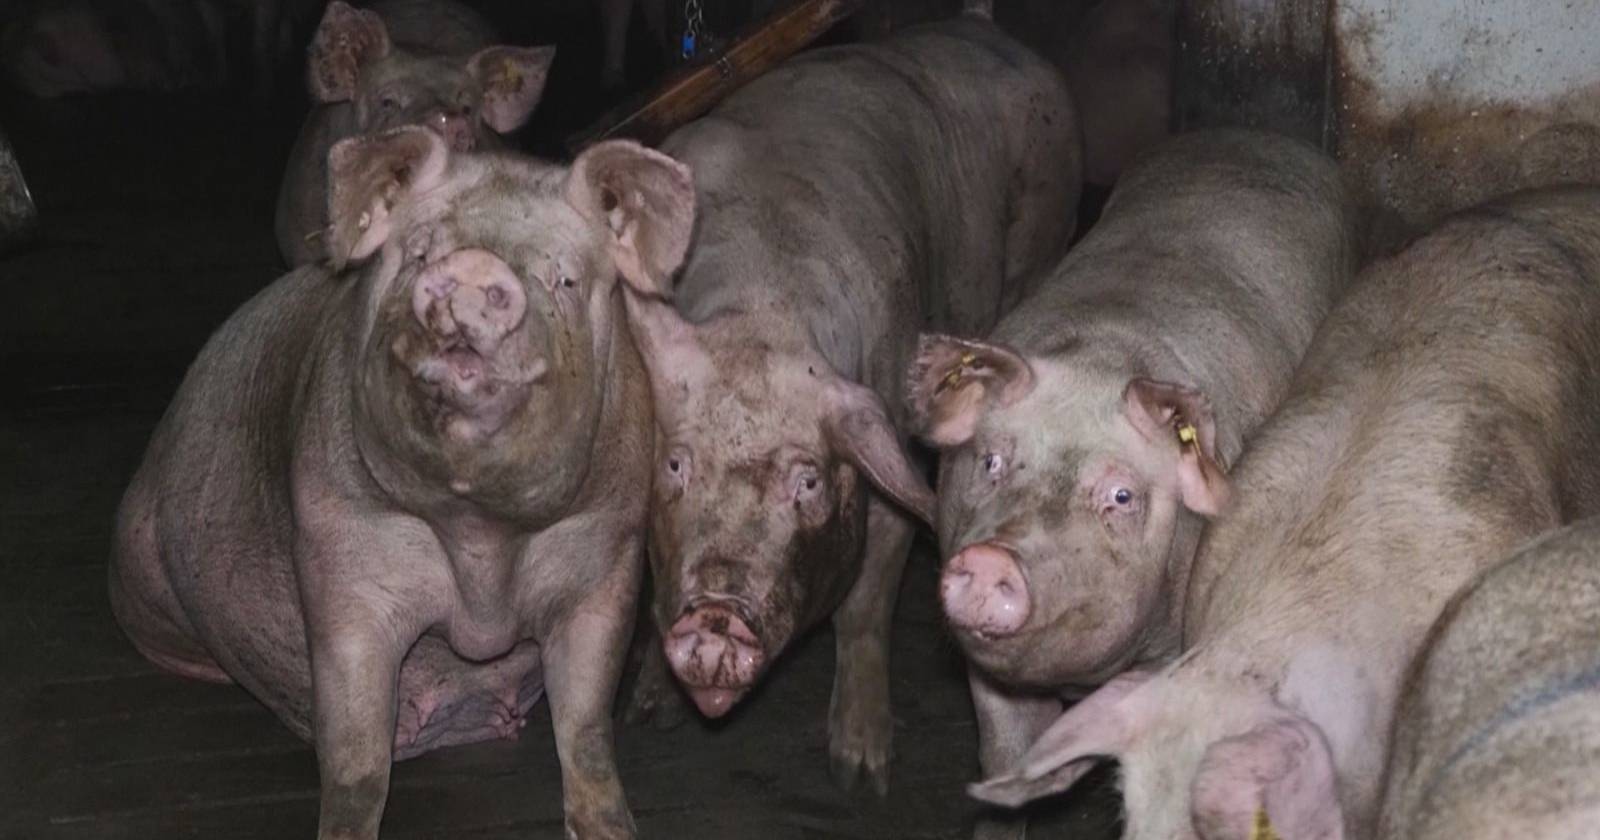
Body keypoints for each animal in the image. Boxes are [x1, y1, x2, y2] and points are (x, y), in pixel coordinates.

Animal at [110, 127, 693, 839]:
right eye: (418, 253)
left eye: (564, 277)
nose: (473, 268)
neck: (481, 543)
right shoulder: (341, 544)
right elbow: (356, 752)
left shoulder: (607, 552)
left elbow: (585, 726)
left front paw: (613, 827)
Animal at [616, 9, 1082, 796]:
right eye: (676, 466)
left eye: (806, 481)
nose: (715, 614)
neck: (761, 309)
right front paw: (650, 714)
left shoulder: (887, 434)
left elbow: (865, 605)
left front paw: (861, 775)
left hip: (1043, 231)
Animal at [906, 127, 1357, 838]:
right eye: (992, 463)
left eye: (1120, 496)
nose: (992, 558)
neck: (1099, 358)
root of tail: (1254, 132)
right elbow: (1004, 756)